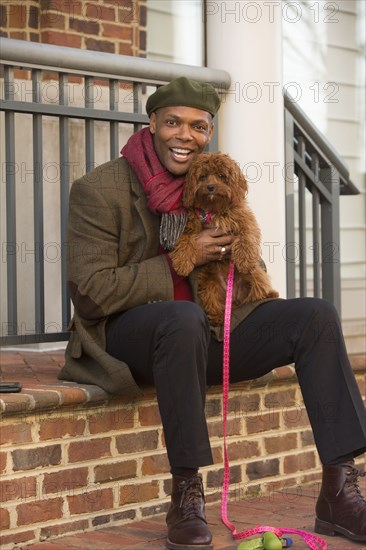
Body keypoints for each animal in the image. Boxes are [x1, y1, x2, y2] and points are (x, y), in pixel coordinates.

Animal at [170, 151, 278, 326]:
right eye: (203, 176)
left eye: (221, 176)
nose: (210, 187)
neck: (214, 209)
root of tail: (234, 300)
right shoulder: (191, 226)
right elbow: (185, 240)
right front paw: (182, 263)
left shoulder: (245, 220)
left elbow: (247, 237)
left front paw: (244, 259)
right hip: (208, 283)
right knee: (213, 305)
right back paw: (218, 317)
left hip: (256, 275)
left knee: (256, 293)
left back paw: (270, 293)